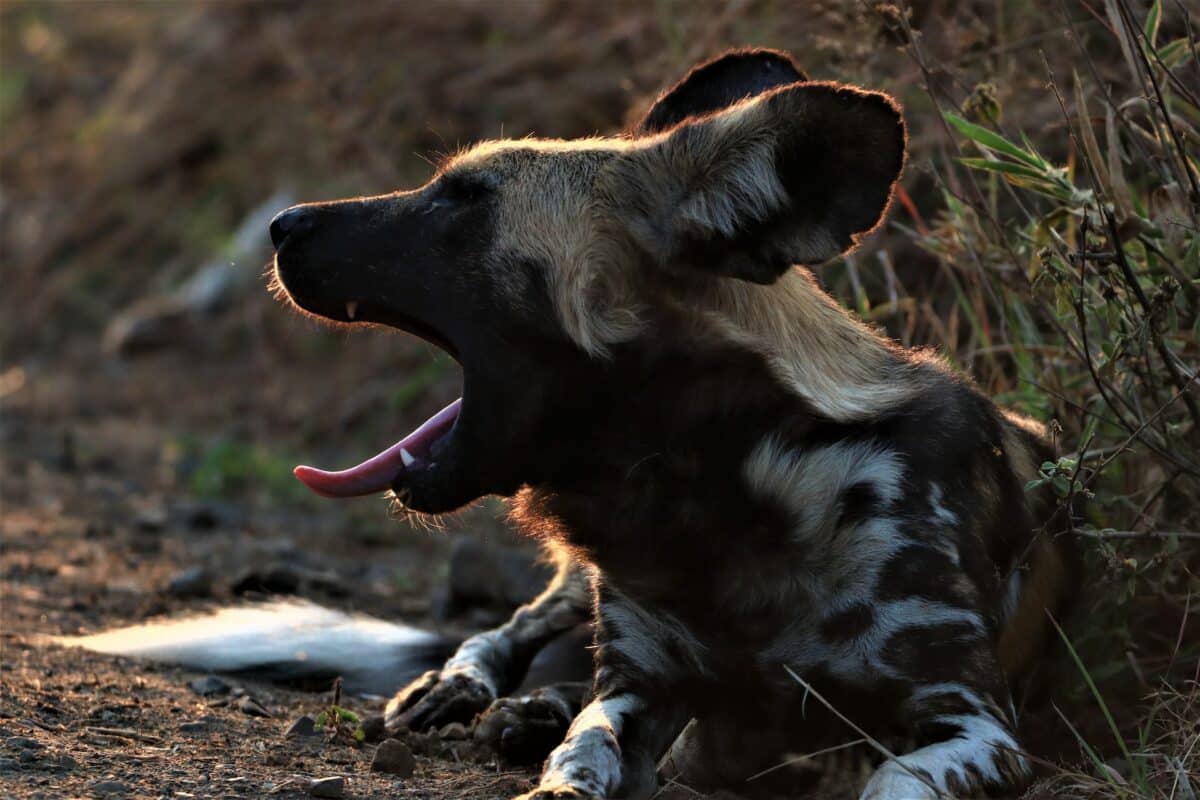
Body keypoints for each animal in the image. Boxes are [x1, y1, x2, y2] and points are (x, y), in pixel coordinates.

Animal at [72, 47, 1070, 796]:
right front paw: (546, 752)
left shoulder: (977, 726)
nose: (278, 224)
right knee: (504, 633)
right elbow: (581, 752)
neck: (726, 495)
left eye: (461, 200)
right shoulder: (636, 692)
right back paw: (477, 697)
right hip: (570, 588)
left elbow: (890, 777)